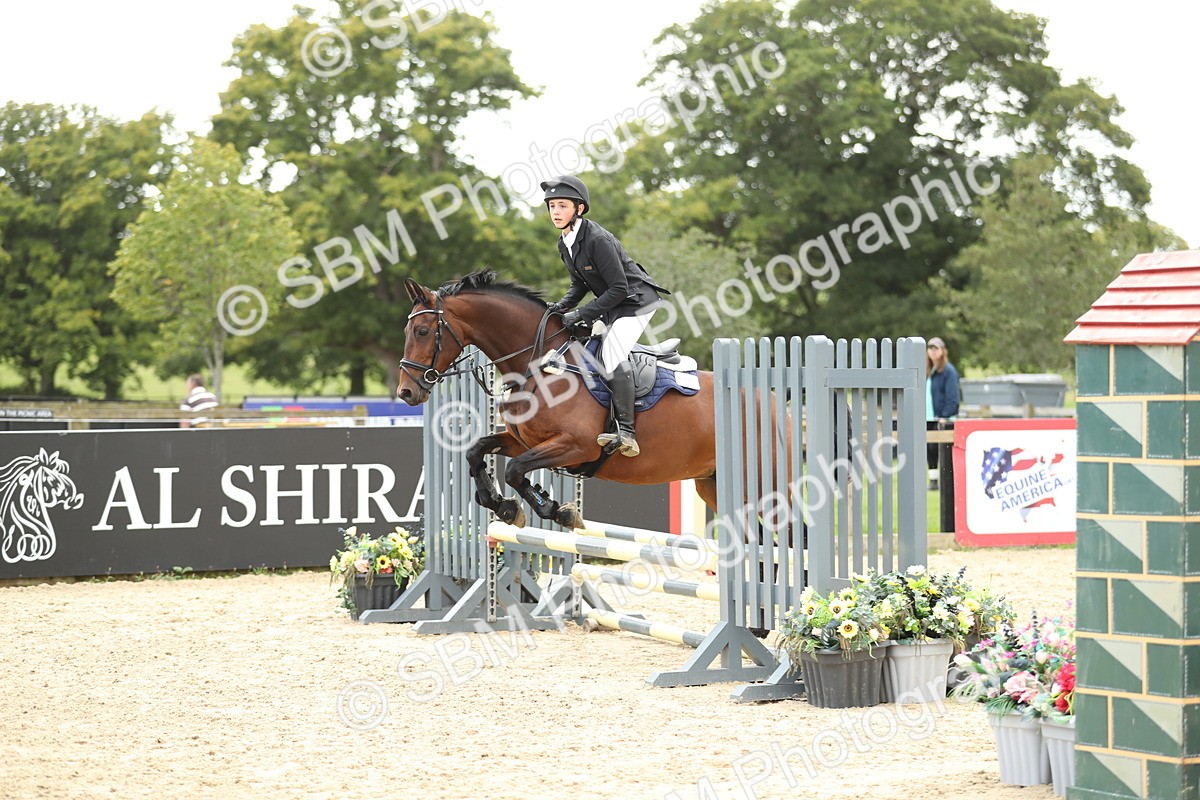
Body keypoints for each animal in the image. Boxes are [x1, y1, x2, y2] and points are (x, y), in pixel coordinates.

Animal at [396, 270, 722, 531]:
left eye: (423, 331)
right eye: (407, 331)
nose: (406, 392)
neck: (539, 365)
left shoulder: (577, 446)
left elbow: (515, 469)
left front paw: (554, 510)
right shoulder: (527, 441)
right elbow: (477, 451)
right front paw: (503, 505)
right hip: (711, 484)